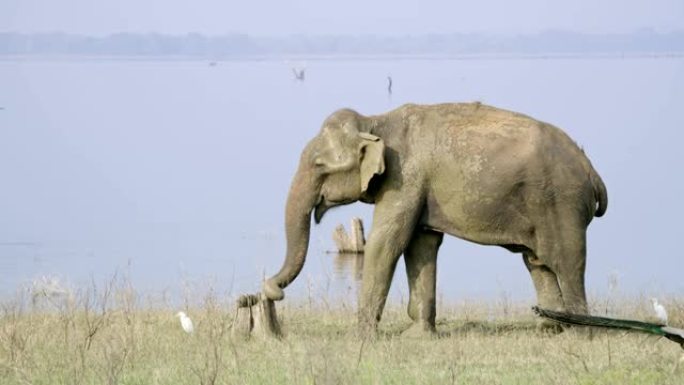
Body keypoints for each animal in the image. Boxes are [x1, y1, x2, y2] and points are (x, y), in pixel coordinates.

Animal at [260, 103, 608, 336]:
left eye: (319, 165)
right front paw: (418, 335)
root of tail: (591, 169)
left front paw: (361, 337)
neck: (375, 122)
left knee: (566, 262)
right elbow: (421, 245)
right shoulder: (414, 187)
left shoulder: (404, 178)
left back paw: (580, 333)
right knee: (538, 262)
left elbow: (386, 244)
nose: (269, 290)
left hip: (562, 203)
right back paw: (551, 329)